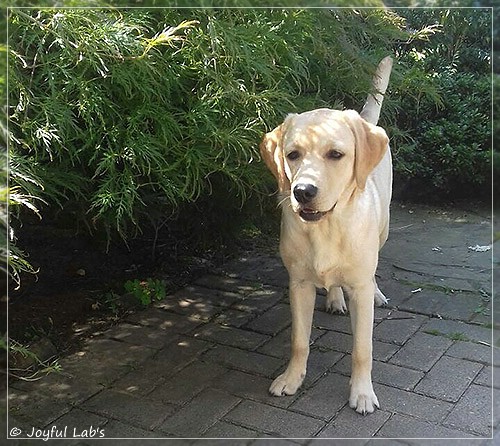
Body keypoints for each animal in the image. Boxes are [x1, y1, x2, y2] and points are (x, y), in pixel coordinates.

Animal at [260, 56, 392, 414]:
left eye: (336, 154)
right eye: (292, 154)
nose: (302, 191)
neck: (327, 227)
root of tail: (362, 119)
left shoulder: (359, 287)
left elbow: (362, 349)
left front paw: (362, 393)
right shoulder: (299, 284)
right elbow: (299, 342)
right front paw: (291, 379)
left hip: (384, 230)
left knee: (373, 270)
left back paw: (376, 292)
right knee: (333, 282)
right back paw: (334, 298)